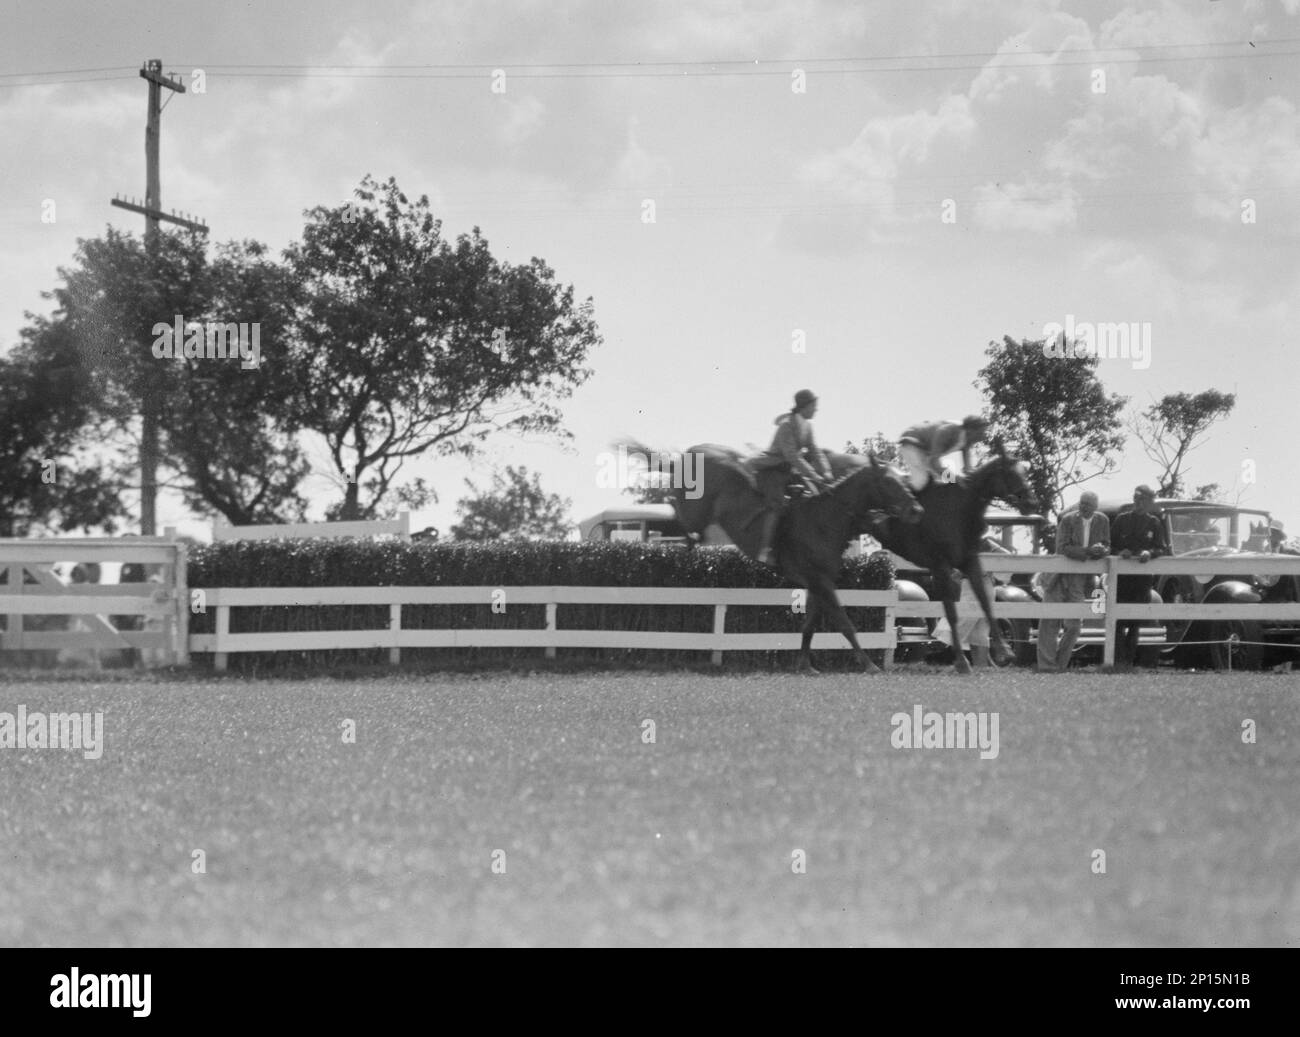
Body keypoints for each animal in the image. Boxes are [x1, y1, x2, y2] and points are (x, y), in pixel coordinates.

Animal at [625, 441, 924, 674]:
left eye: (903, 479)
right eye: (889, 481)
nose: (916, 510)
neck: (826, 519)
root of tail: (691, 452)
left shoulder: (818, 583)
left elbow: (809, 626)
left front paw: (805, 665)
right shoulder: (820, 581)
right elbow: (844, 622)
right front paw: (869, 664)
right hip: (696, 507)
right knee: (677, 510)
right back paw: (679, 535)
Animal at [873, 448, 1037, 674]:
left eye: (1024, 472)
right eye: (1011, 474)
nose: (1031, 503)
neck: (957, 509)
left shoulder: (970, 562)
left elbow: (985, 603)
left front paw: (1004, 650)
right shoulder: (940, 566)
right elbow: (951, 613)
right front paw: (962, 662)